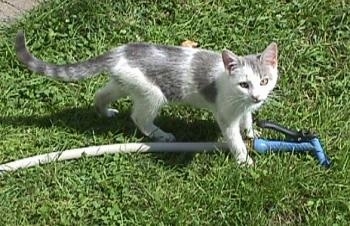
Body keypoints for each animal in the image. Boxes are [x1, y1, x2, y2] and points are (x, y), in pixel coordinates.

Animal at [15, 31, 278, 164]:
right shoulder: (225, 115)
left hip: (124, 83)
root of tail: (119, 51)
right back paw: (162, 135)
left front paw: (252, 133)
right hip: (153, 93)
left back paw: (105, 112)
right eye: (244, 84)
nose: (257, 96)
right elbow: (234, 139)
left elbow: (247, 121)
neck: (239, 99)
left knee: (101, 94)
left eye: (265, 81)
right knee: (139, 118)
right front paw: (244, 161)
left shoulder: (244, 109)